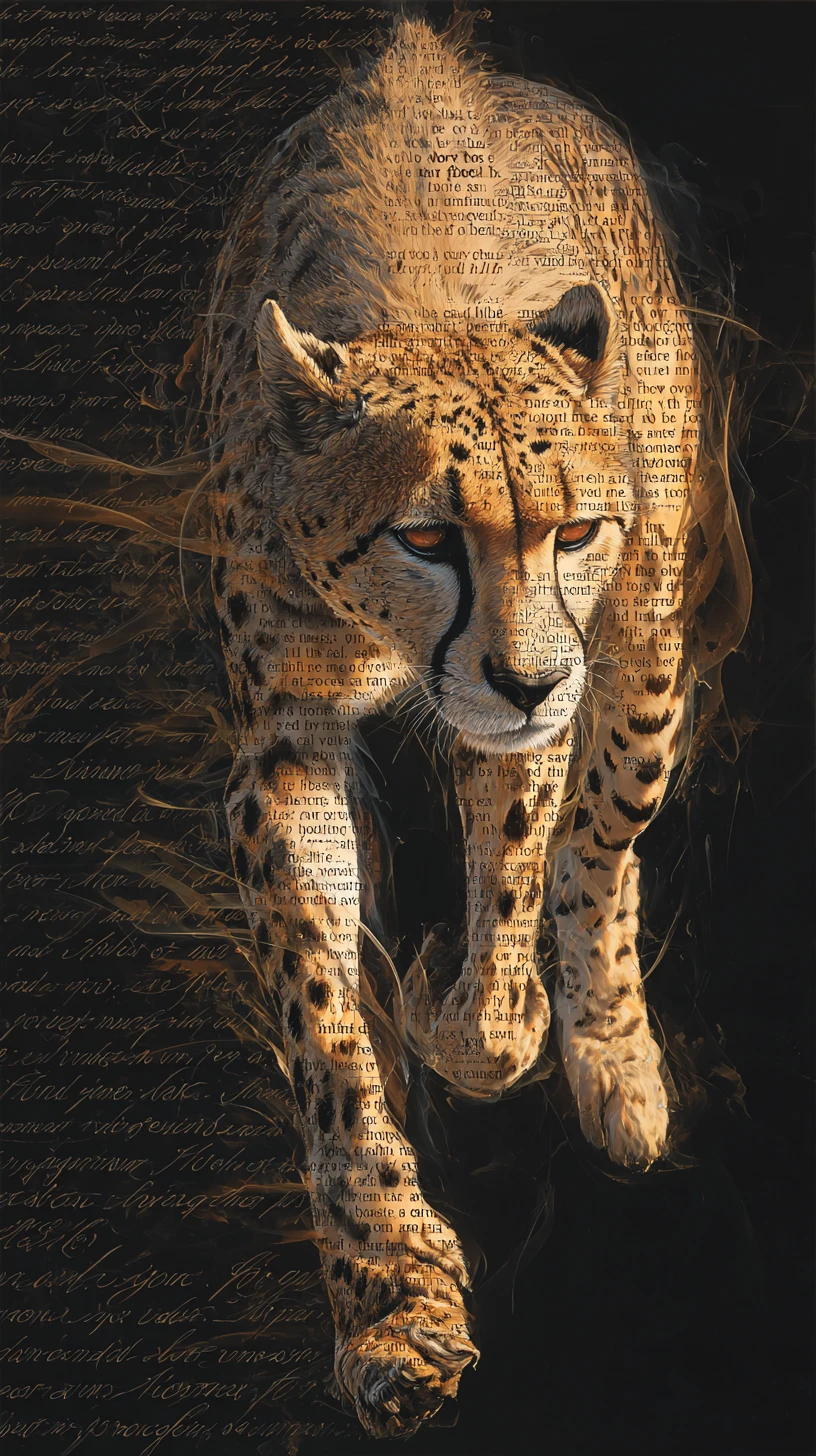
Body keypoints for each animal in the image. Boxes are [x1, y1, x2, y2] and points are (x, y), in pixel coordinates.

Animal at [201, 15, 749, 1439]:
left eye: (574, 528)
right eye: (427, 536)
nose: (525, 681)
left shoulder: (565, 668)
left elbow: (520, 858)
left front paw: (483, 1030)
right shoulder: (283, 744)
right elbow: (323, 1017)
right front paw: (394, 1297)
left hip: (648, 646)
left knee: (604, 838)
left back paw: (612, 1062)